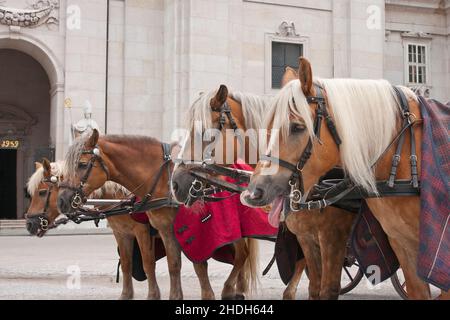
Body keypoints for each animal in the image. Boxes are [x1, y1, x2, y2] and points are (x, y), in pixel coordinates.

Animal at [25, 159, 161, 300]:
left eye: (42, 192)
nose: (29, 224)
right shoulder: (122, 234)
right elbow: (126, 264)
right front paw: (126, 295)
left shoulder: (142, 232)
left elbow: (148, 263)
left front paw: (153, 295)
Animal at [55, 132, 258, 300]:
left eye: (82, 164)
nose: (62, 201)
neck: (163, 179)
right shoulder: (151, 231)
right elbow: (165, 264)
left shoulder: (169, 230)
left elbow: (192, 264)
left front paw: (205, 295)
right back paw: (237, 289)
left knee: (241, 255)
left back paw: (229, 288)